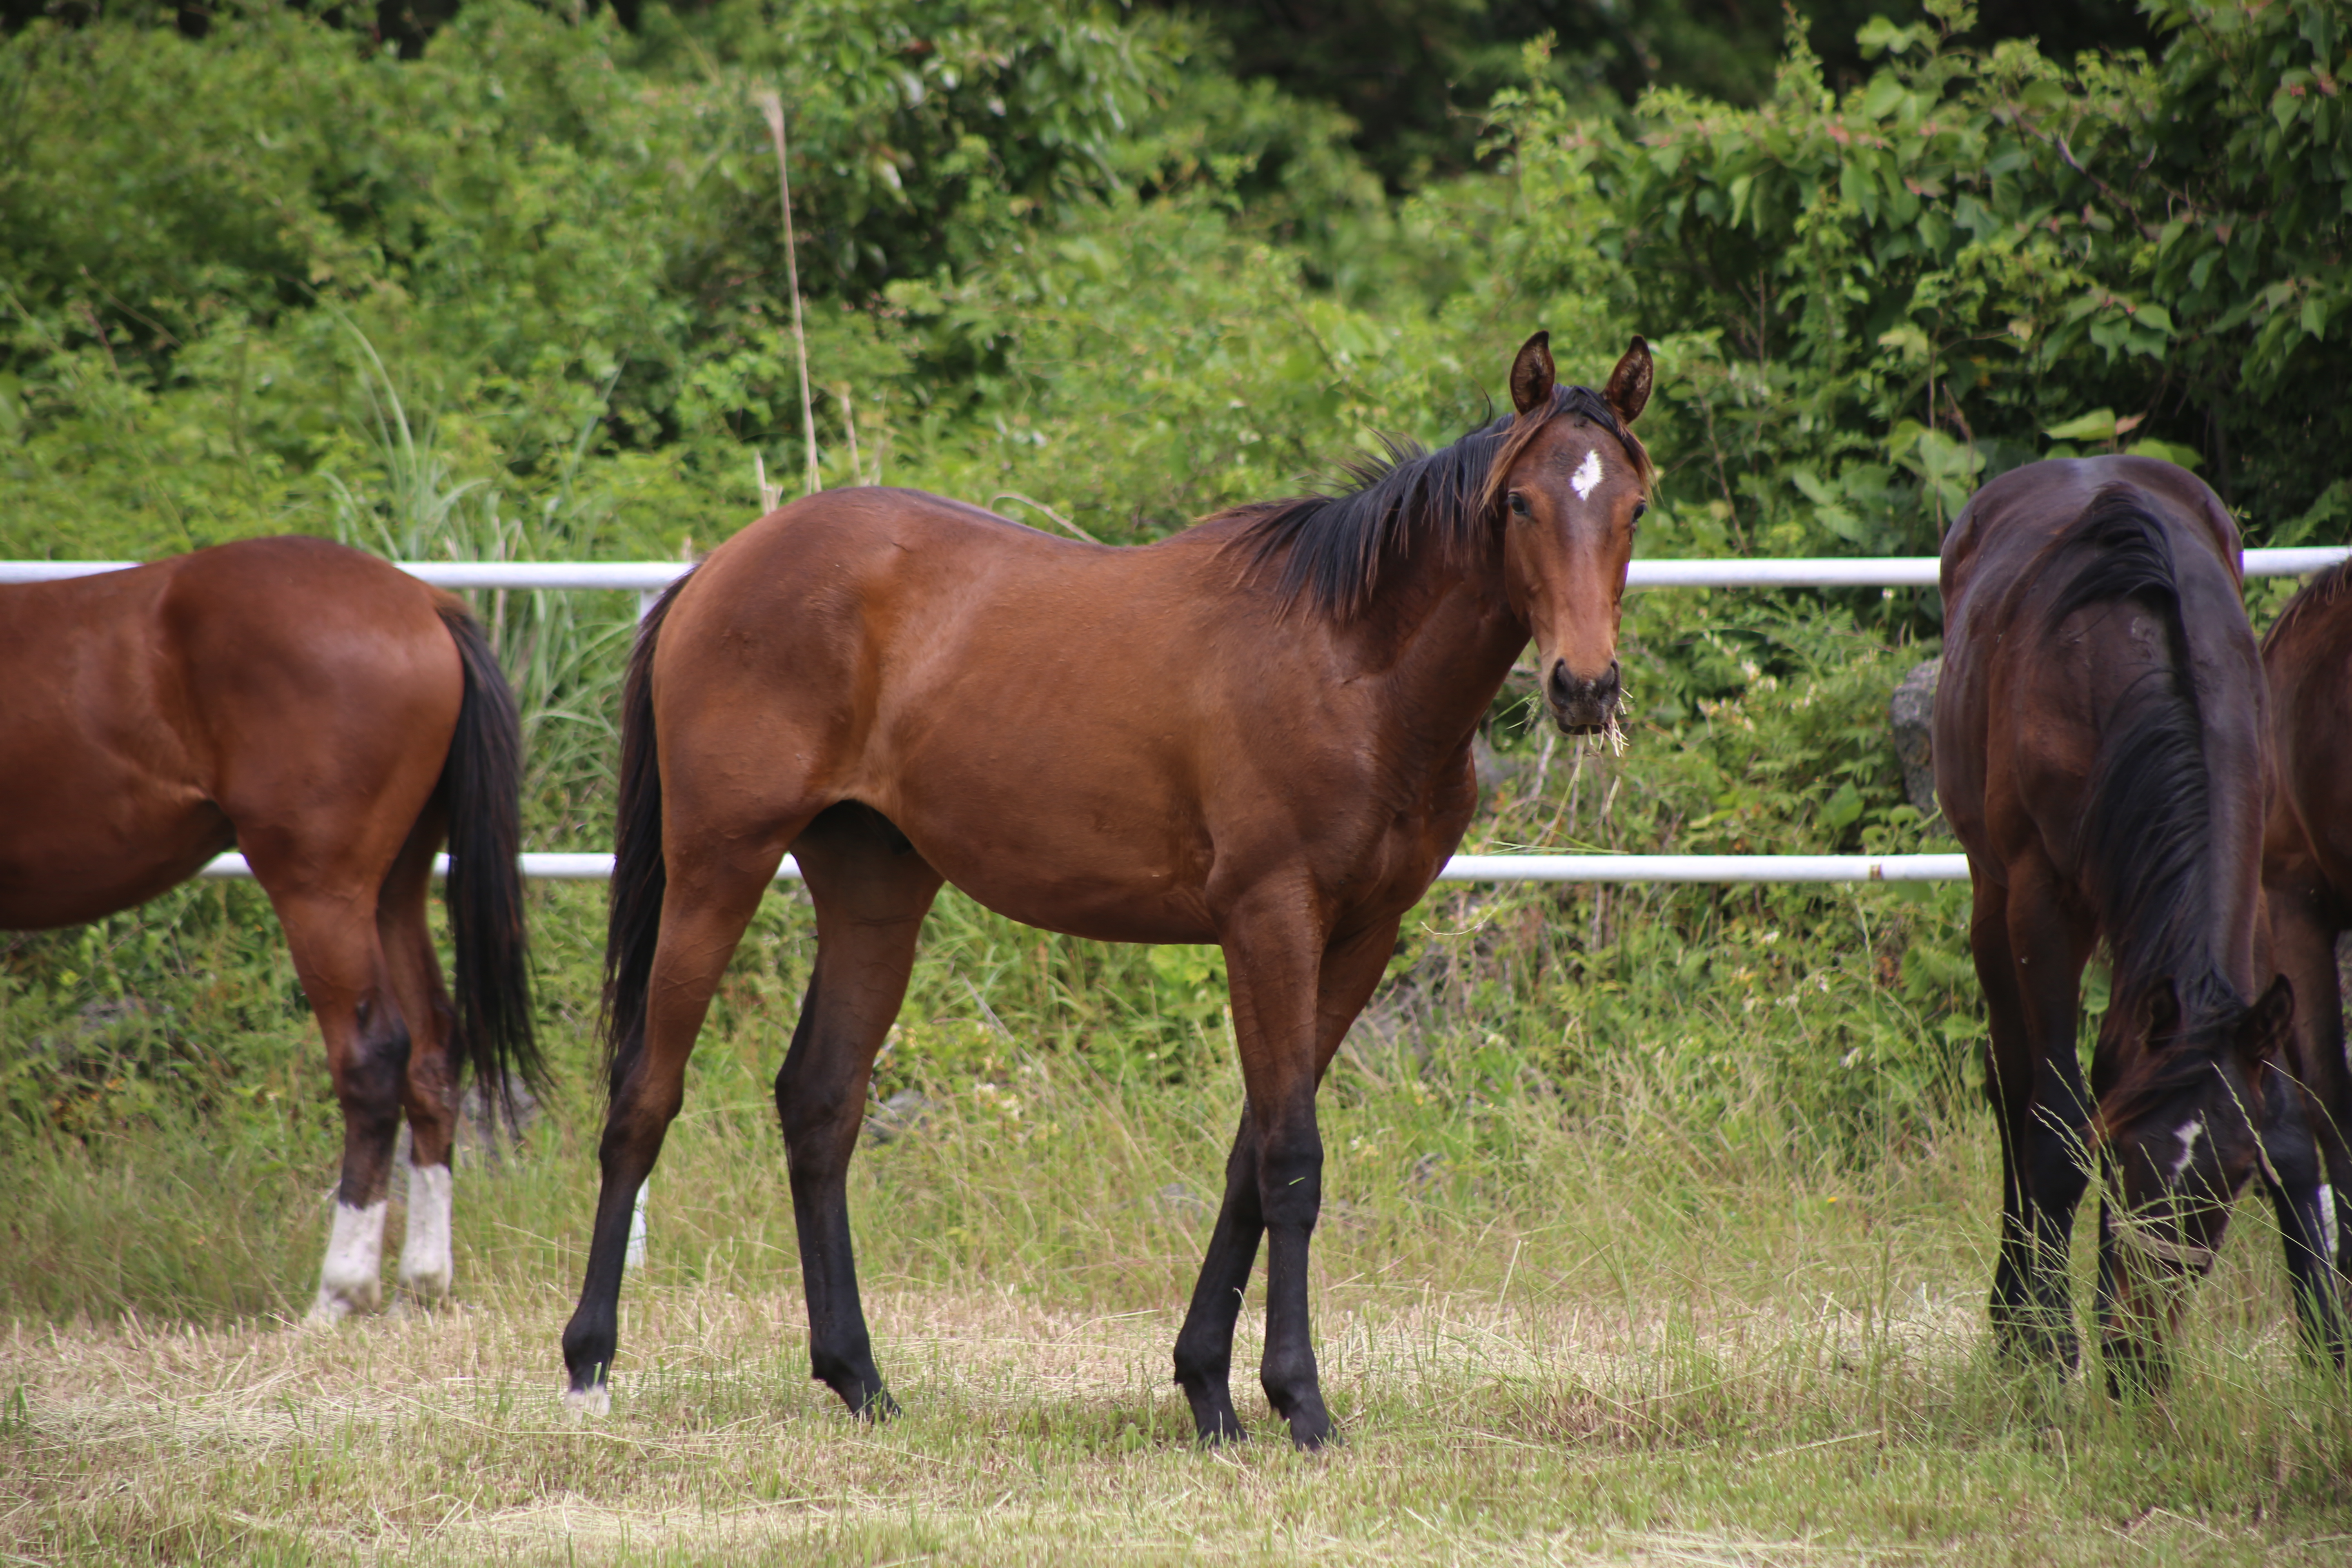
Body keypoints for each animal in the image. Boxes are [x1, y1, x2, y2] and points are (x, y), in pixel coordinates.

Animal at [0, 536, 539, 1326]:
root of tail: (424, 602)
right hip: (393, 891)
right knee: (434, 1052)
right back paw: (420, 1283)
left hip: (320, 892)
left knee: (374, 1058)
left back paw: (340, 1292)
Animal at [559, 334, 1656, 1448]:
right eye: (1517, 502)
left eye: (1634, 508)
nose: (1583, 686)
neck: (1351, 666)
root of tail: (716, 570)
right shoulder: (1270, 921)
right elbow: (1291, 1160)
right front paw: (1298, 1400)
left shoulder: (1360, 937)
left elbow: (1249, 1158)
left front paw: (1208, 1387)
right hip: (718, 866)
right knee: (645, 1093)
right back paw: (590, 1365)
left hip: (874, 889)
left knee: (820, 1102)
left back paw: (859, 1377)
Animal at [1929, 461, 2333, 1392]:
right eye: (2128, 1167)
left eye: (2228, 1183)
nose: (2140, 1356)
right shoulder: (2041, 901)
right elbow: (2055, 1122)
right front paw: (2048, 1345)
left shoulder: (2255, 892)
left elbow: (2289, 1127)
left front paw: (2328, 1344)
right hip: (1991, 898)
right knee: (2015, 1088)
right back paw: (2016, 1319)